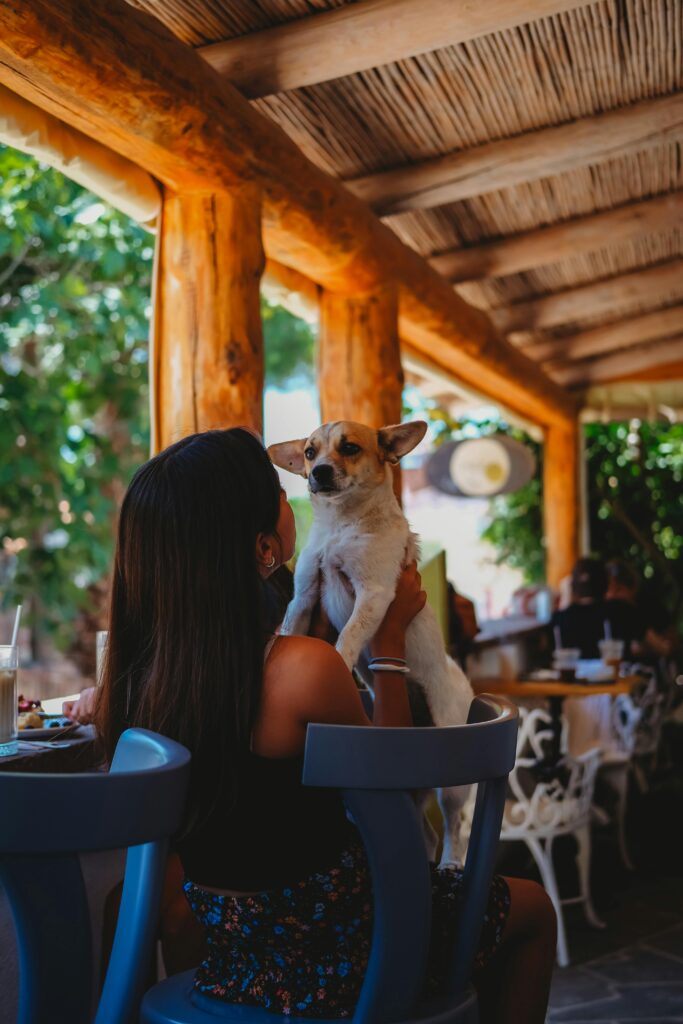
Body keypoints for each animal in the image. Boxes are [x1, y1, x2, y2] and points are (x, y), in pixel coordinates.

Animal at [268, 415, 475, 864]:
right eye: (309, 452)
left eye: (349, 448)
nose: (317, 472)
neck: (341, 527)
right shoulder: (305, 593)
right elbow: (290, 628)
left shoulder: (374, 594)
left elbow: (348, 636)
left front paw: (339, 662)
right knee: (426, 835)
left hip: (452, 782)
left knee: (455, 828)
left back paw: (451, 863)